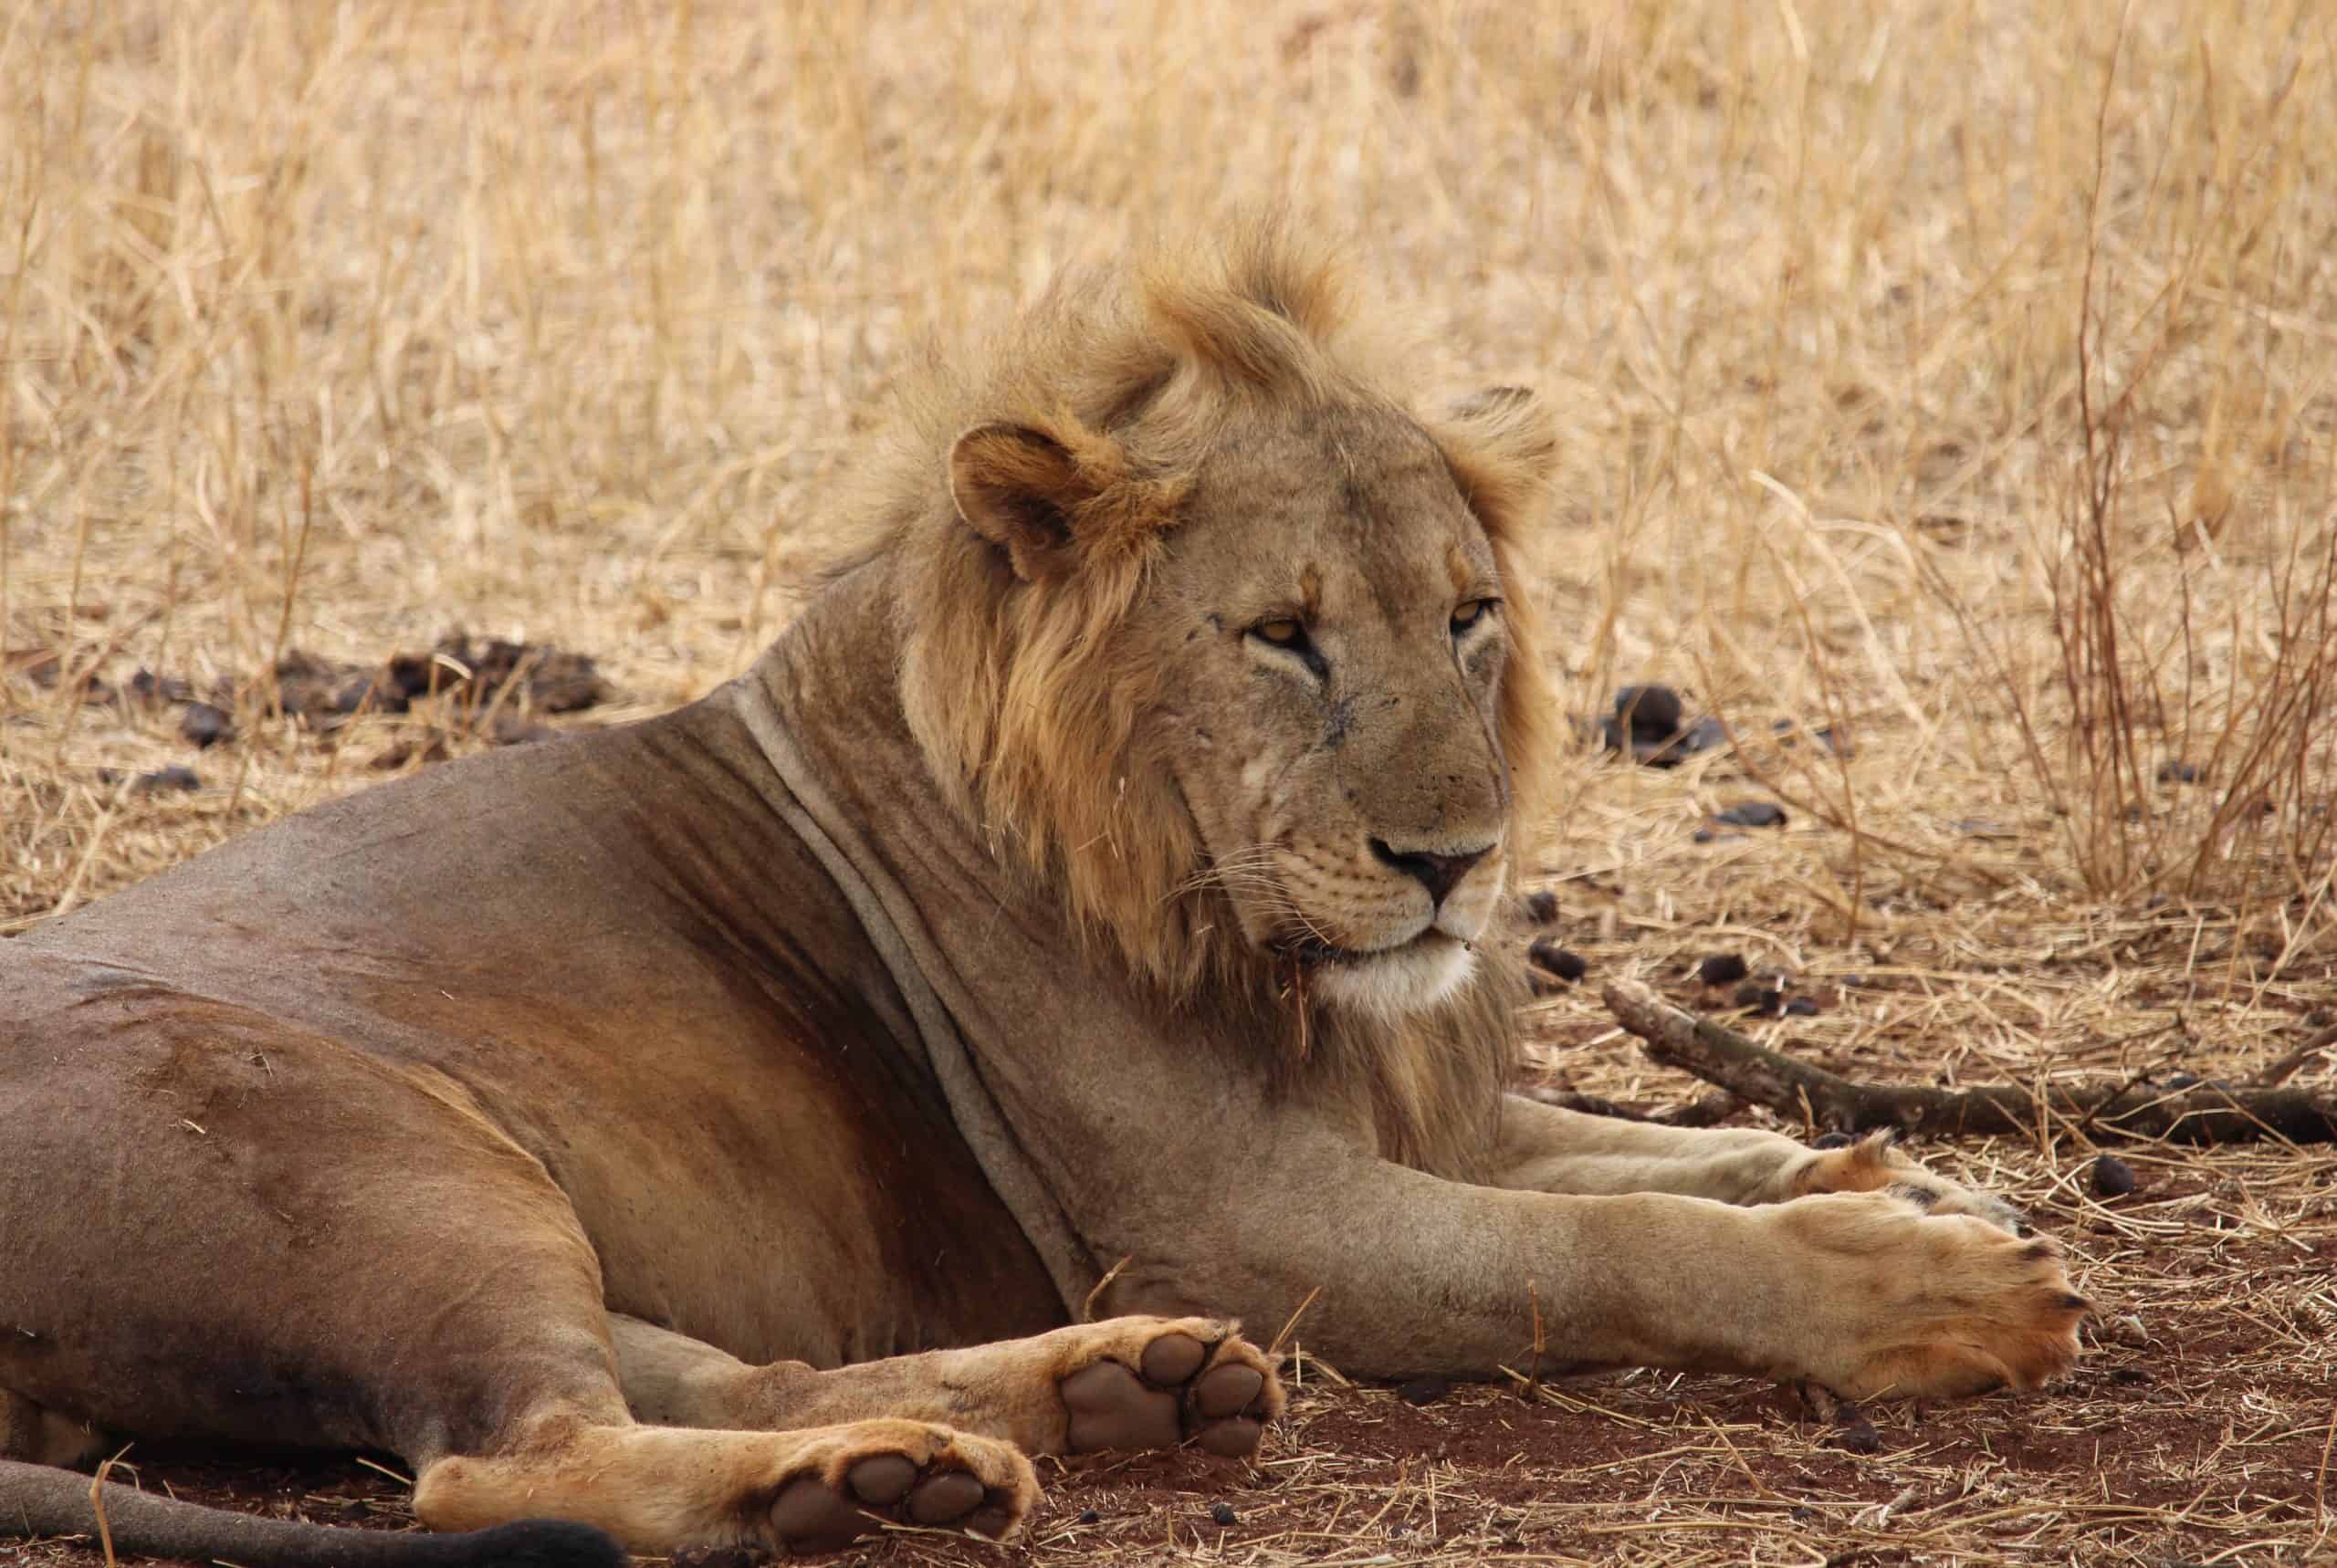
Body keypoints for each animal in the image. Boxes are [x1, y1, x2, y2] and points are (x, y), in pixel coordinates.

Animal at [0, 227, 2083, 1565]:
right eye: (1282, 637)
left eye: (1465, 615)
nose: (1453, 861)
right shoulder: (1232, 1216)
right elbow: (1611, 1243)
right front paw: (1920, 1284)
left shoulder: (1402, 1111)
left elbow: (1656, 1145)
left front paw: (1920, 1189)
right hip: (385, 1150)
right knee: (503, 1466)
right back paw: (870, 1483)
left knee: (692, 1376)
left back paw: (1034, 1424)